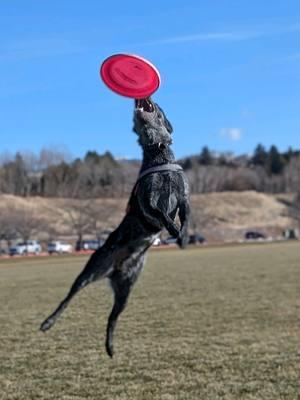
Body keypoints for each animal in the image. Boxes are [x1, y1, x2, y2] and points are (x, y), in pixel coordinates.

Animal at [40, 98, 190, 358]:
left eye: (158, 106)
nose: (142, 98)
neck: (158, 155)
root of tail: (114, 269)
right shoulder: (147, 203)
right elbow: (161, 213)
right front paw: (173, 228)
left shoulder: (182, 198)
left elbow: (187, 214)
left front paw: (183, 236)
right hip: (90, 272)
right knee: (67, 299)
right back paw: (48, 322)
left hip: (126, 290)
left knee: (112, 318)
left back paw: (110, 347)